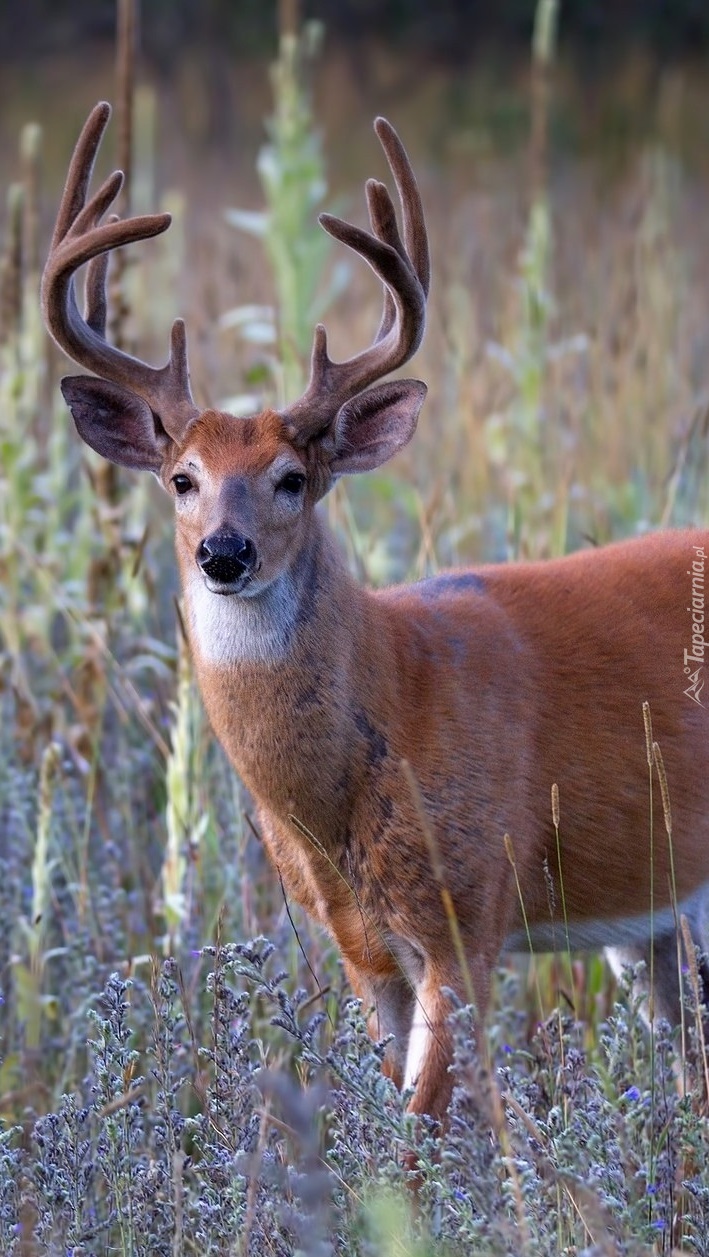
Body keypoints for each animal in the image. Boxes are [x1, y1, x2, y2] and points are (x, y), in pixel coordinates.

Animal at [44, 98, 709, 1121]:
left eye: (291, 477)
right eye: (181, 477)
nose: (223, 552)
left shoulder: (469, 910)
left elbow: (418, 1132)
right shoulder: (362, 949)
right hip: (658, 923)